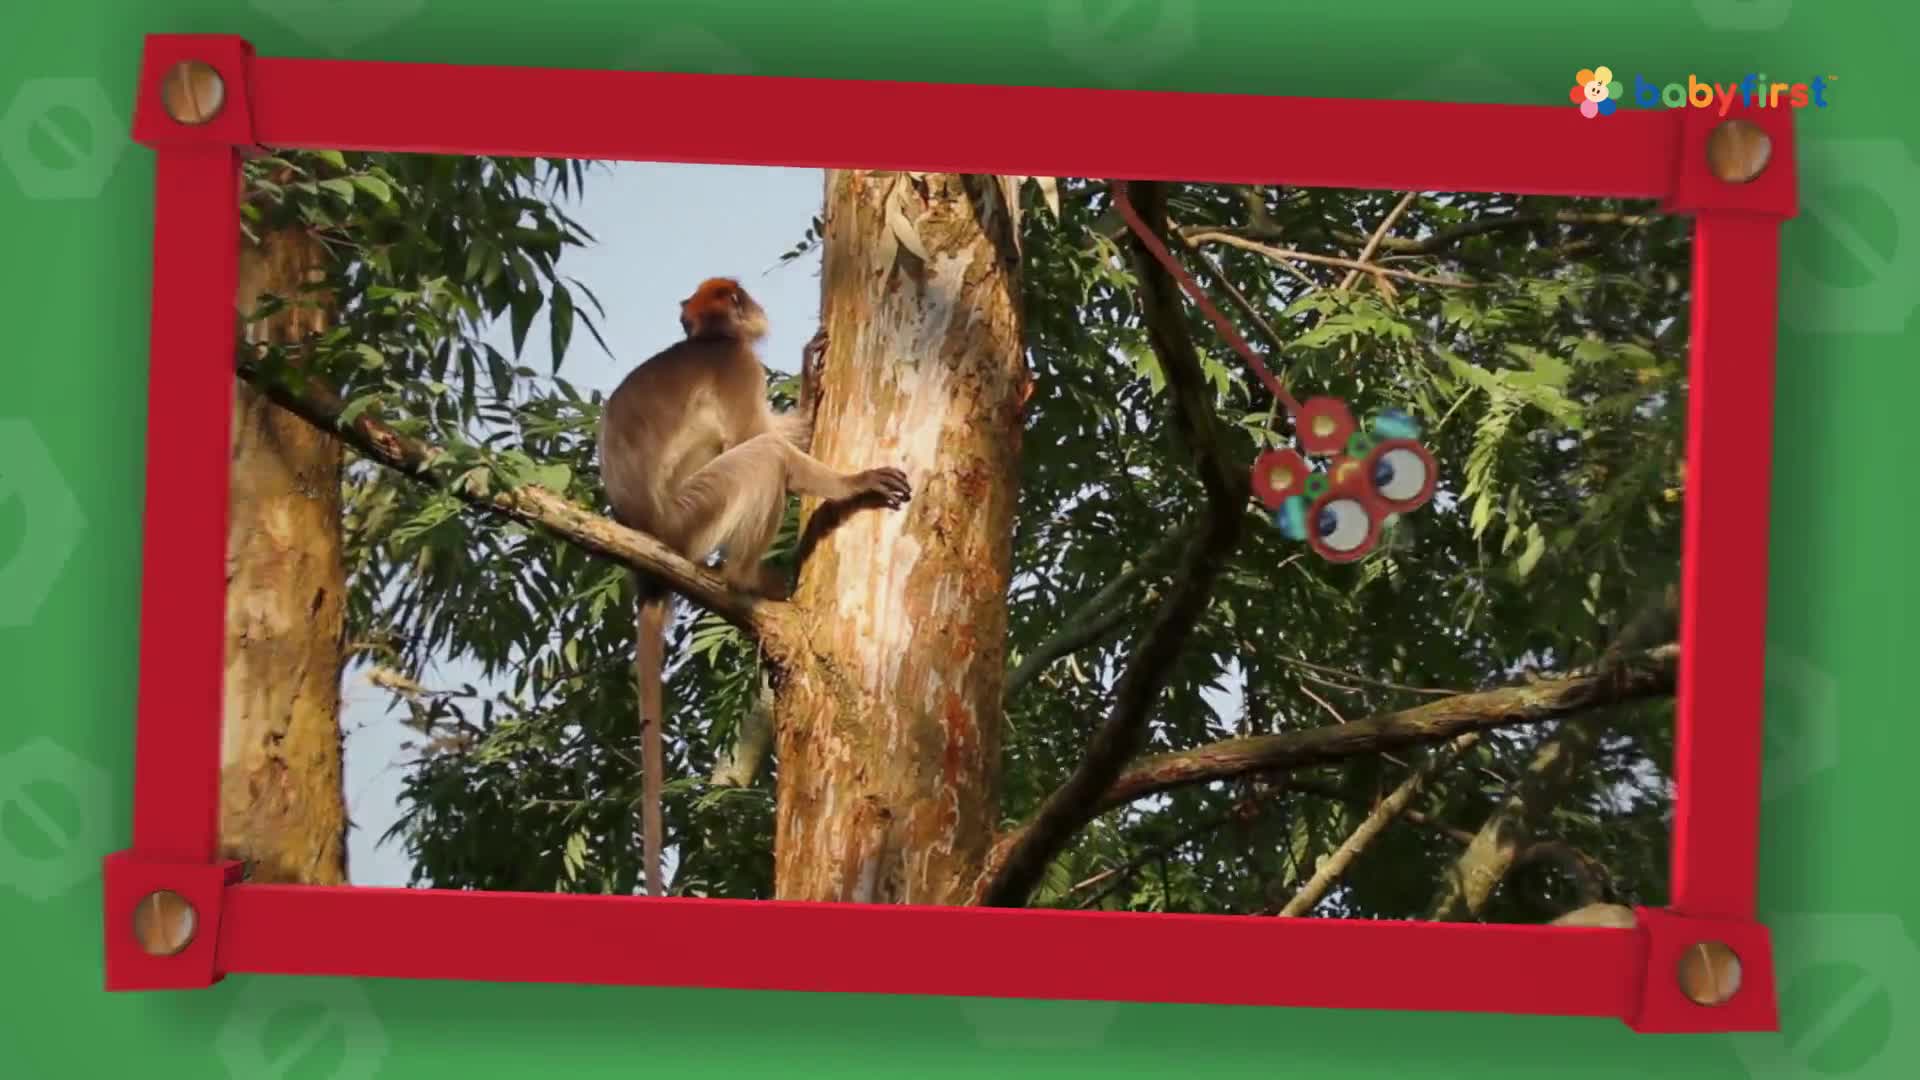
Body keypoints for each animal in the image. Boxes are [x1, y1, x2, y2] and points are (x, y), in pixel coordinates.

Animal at [596, 277, 912, 896]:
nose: (757, 310)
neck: (709, 339)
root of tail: (647, 538)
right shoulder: (736, 365)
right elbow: (763, 441)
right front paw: (855, 484)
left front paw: (812, 376)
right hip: (692, 517)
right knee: (761, 456)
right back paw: (747, 579)